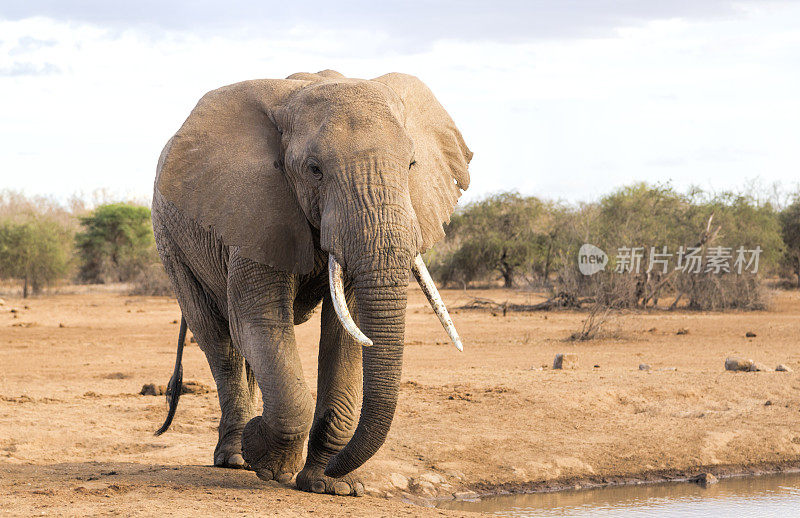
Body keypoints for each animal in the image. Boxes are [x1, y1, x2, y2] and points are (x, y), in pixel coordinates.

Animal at [152, 67, 468, 498]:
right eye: (314, 169)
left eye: (411, 164)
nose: (336, 470)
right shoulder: (255, 210)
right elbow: (260, 320)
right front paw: (268, 463)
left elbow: (347, 331)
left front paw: (330, 485)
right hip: (170, 240)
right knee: (219, 340)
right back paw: (235, 458)